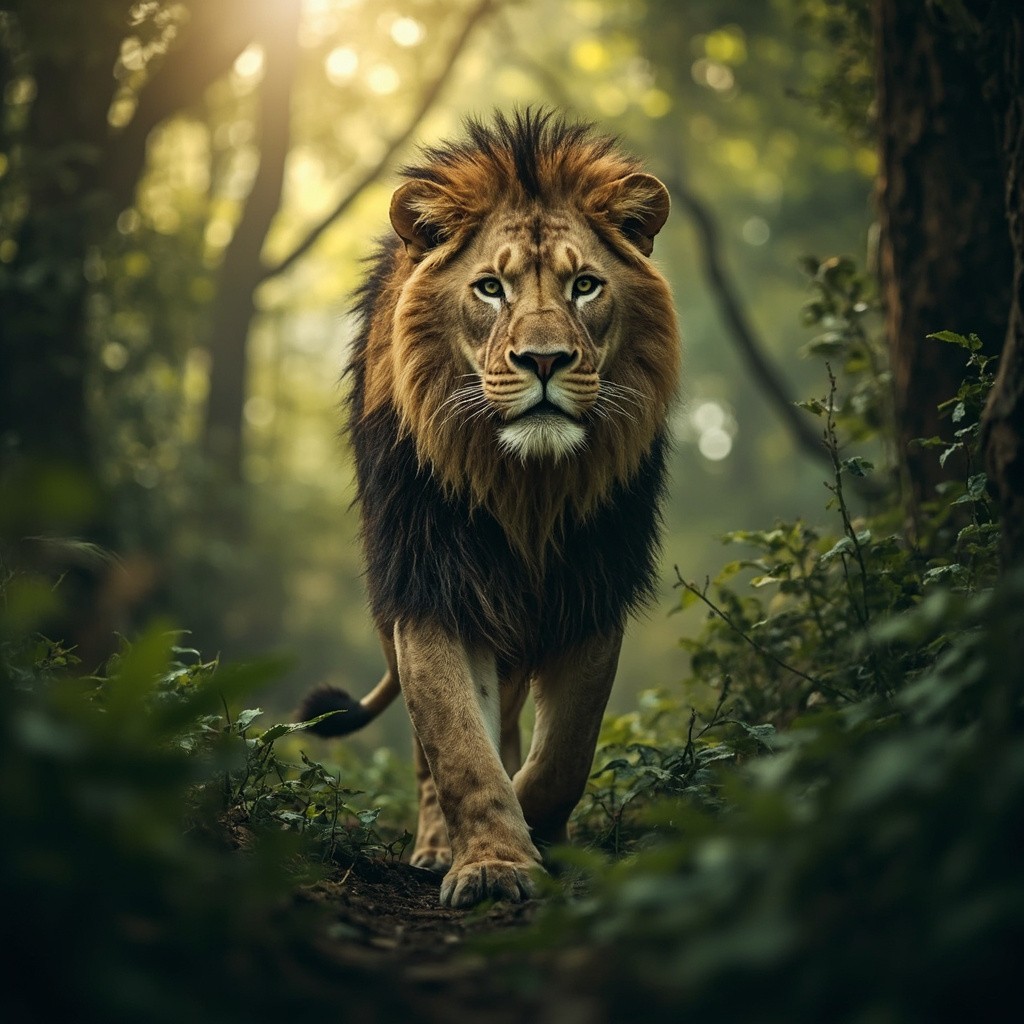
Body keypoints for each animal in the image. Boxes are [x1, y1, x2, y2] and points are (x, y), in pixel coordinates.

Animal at [299, 109, 680, 908]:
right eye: (490, 289)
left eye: (586, 285)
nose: (544, 360)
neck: (526, 486)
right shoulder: (431, 585)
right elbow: (458, 748)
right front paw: (495, 863)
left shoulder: (592, 588)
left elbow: (564, 752)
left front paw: (537, 835)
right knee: (428, 753)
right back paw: (434, 847)